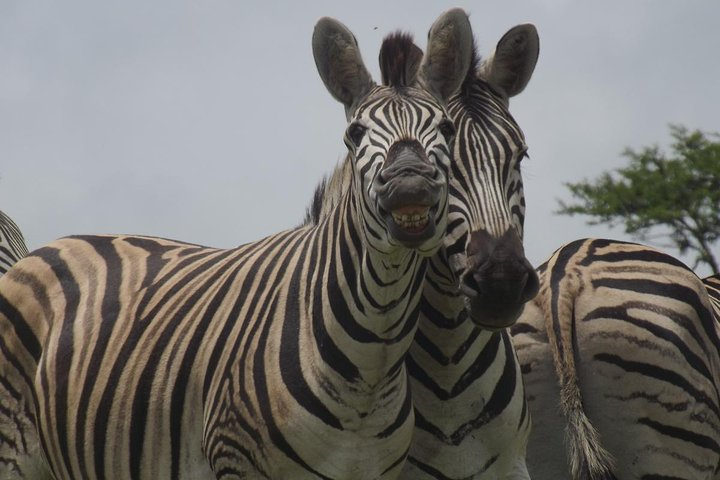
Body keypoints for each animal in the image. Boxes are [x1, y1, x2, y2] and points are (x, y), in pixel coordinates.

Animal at [0, 11, 472, 480]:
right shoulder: (236, 459)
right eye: (355, 134)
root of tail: (47, 247)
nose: (409, 185)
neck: (372, 362)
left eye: (447, 127)